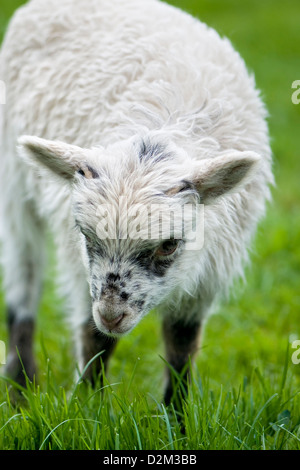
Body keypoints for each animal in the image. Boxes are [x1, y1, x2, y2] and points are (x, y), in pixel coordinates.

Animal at [0, 0, 274, 404]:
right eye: (86, 236)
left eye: (169, 245)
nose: (112, 315)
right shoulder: (80, 264)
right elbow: (94, 339)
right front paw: (87, 406)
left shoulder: (207, 276)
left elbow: (181, 346)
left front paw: (176, 414)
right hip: (14, 185)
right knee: (24, 278)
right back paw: (20, 388)